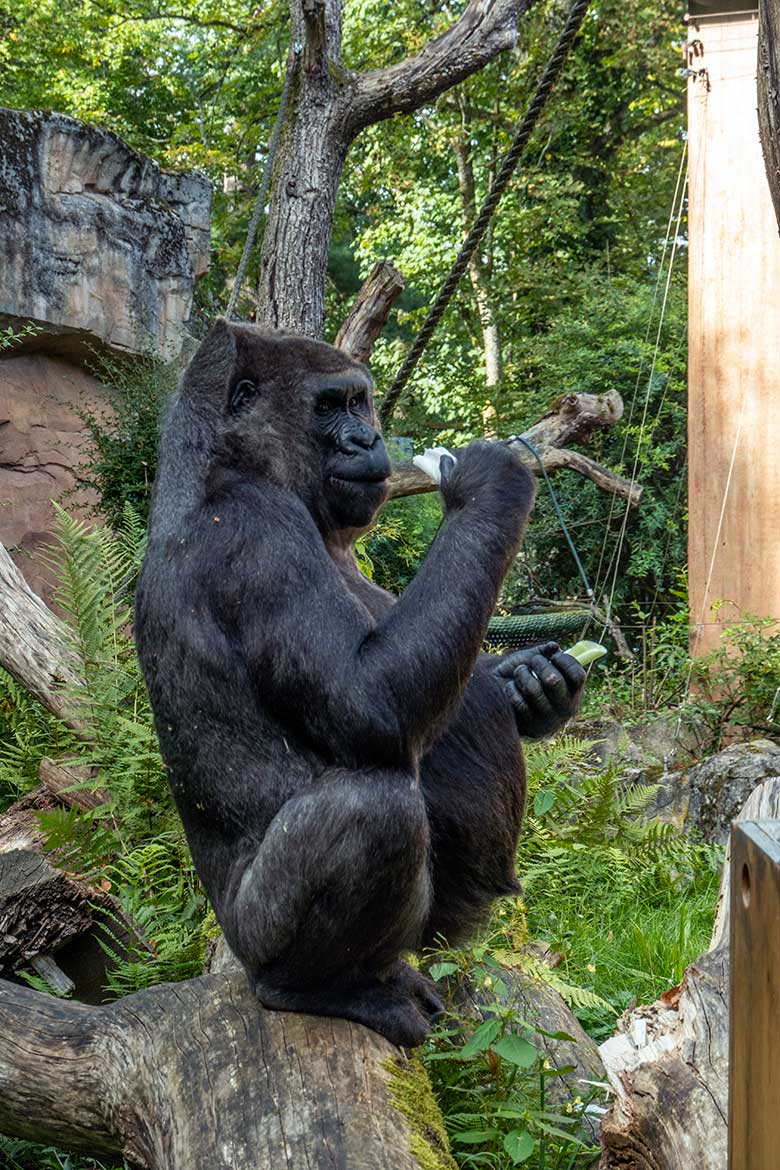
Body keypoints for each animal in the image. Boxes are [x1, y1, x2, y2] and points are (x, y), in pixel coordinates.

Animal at [135, 315, 584, 1048]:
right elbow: (366, 705)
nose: (368, 439)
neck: (219, 465)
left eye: (358, 402)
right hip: (253, 938)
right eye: (328, 407)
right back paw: (315, 986)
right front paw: (488, 485)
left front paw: (532, 683)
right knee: (374, 811)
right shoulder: (255, 533)